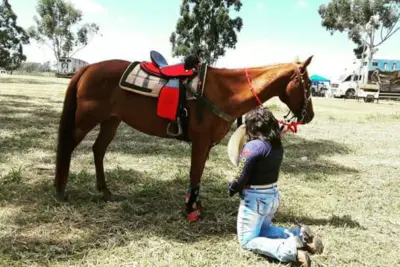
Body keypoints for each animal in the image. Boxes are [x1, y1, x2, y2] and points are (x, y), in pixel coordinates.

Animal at [54, 55, 316, 222]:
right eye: (309, 84)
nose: (310, 115)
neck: (225, 91)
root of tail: (88, 68)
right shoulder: (200, 143)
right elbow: (194, 174)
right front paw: (191, 209)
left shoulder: (205, 145)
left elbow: (197, 175)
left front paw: (195, 204)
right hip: (86, 120)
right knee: (68, 146)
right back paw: (59, 190)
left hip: (111, 121)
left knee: (98, 150)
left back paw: (105, 191)